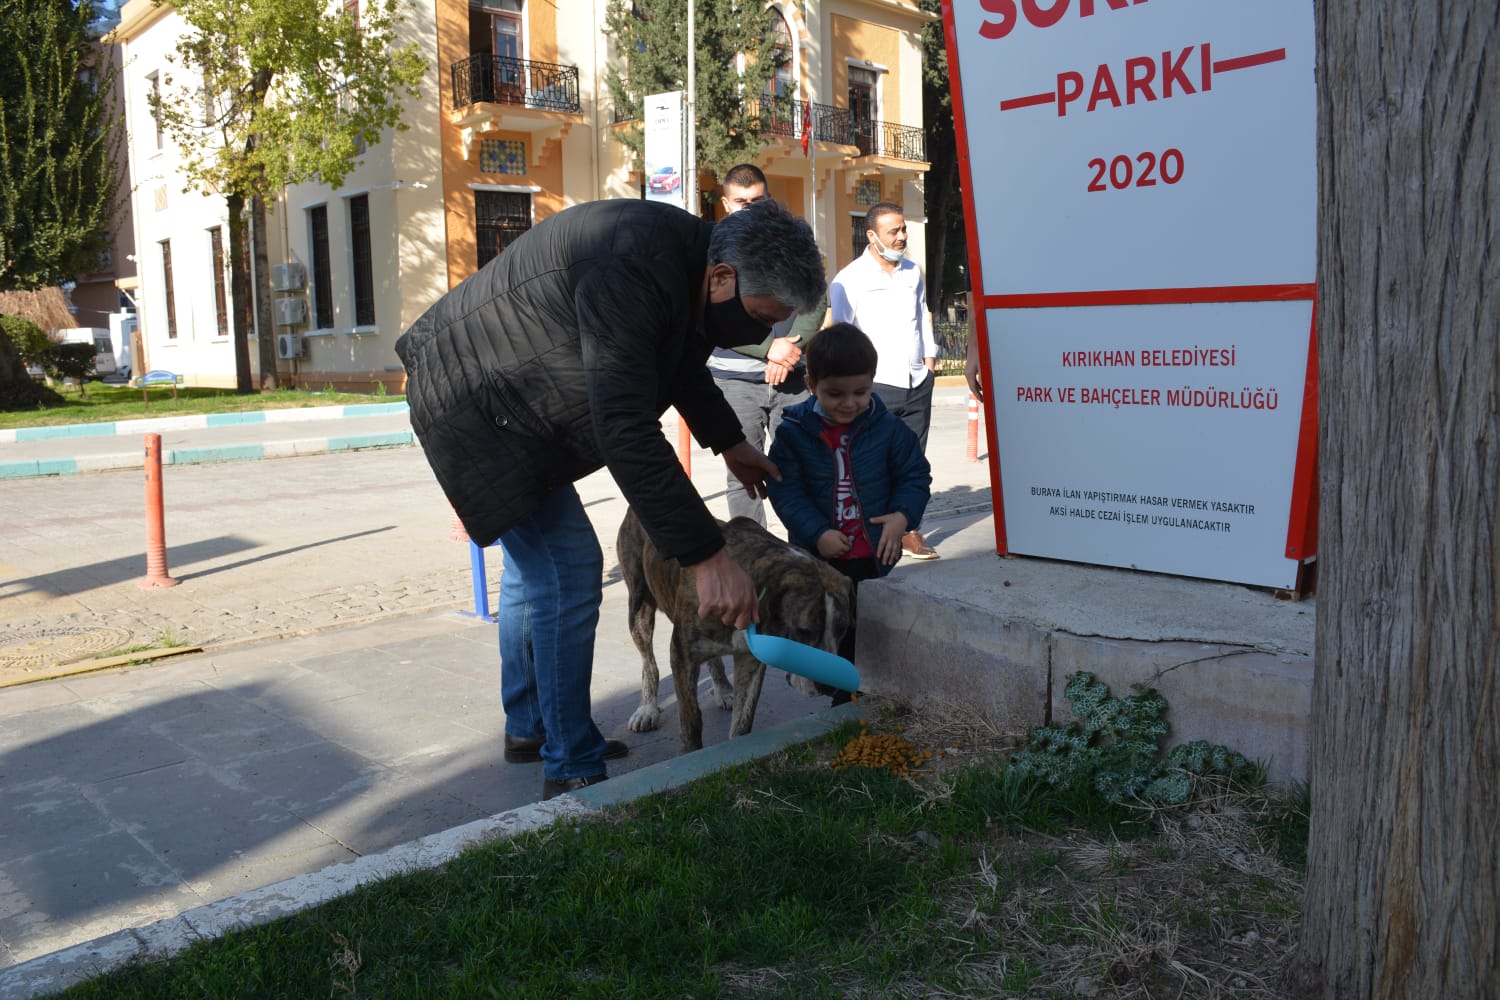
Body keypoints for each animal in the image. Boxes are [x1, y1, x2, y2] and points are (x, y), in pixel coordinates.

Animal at [618, 509, 852, 749]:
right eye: (802, 631)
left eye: (842, 630)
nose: (829, 686)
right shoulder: (682, 656)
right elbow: (691, 720)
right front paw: (692, 749)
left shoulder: (750, 660)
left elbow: (742, 720)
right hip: (638, 606)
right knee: (648, 660)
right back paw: (647, 708)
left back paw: (722, 688)